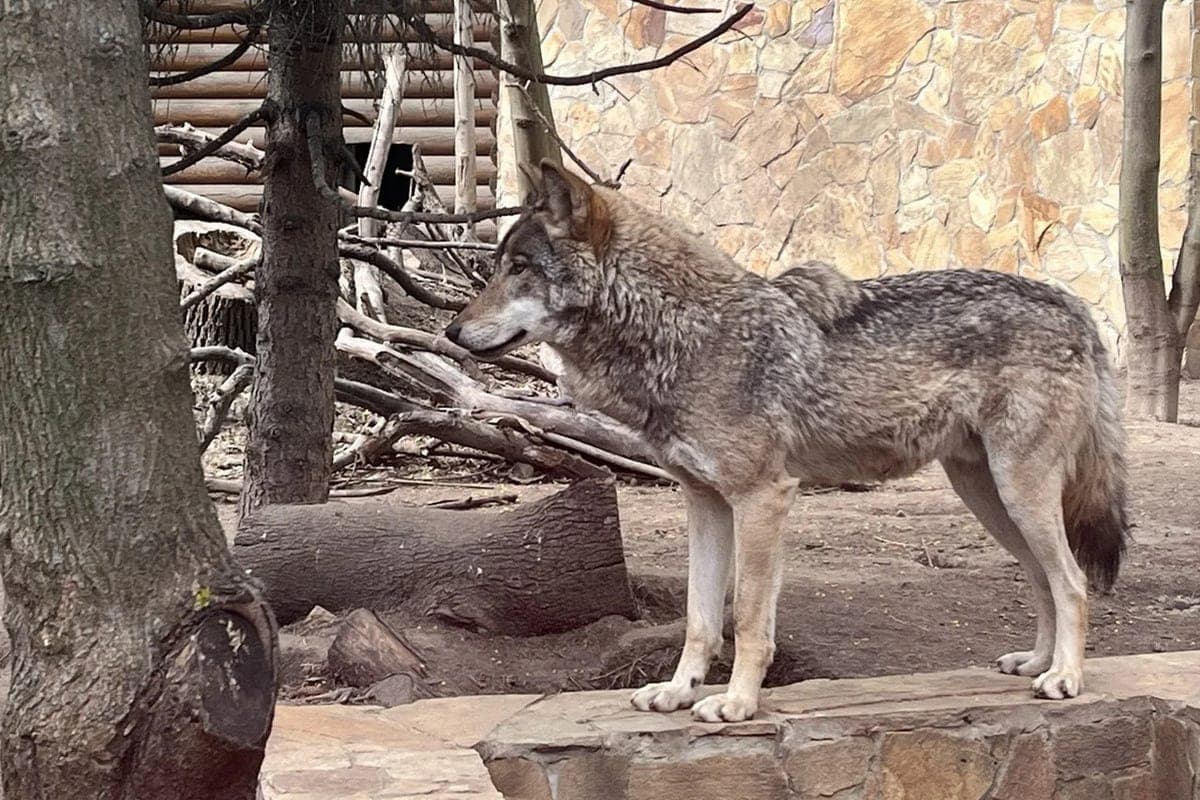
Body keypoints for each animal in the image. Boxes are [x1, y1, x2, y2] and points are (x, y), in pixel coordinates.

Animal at [444, 162, 1128, 723]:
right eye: (500, 266)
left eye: (519, 268)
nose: (450, 331)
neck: (687, 336)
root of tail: (1073, 303)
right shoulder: (705, 504)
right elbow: (700, 619)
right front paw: (678, 692)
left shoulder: (764, 498)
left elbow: (747, 619)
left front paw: (736, 704)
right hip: (988, 496)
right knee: (1042, 579)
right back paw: (1037, 664)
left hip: (1019, 490)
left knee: (1072, 582)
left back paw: (1065, 678)